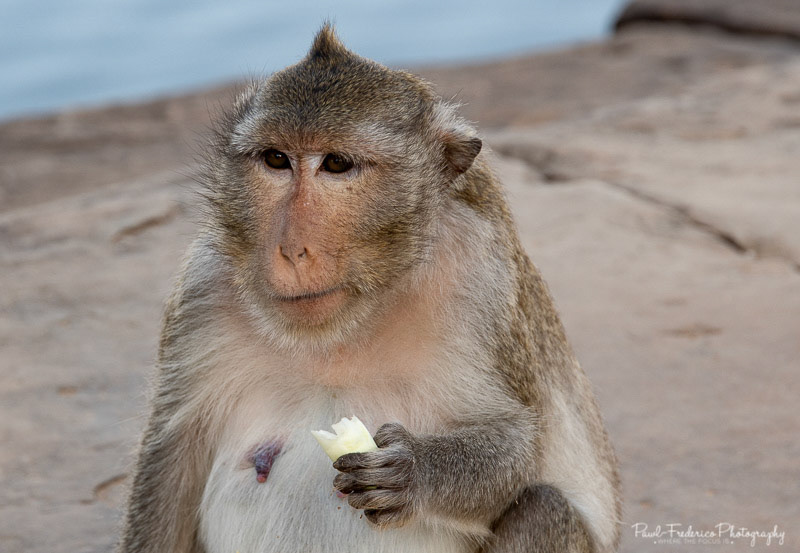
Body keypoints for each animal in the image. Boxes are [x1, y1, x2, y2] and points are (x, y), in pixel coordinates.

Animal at [118, 25, 621, 553]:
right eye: (276, 159)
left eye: (336, 164)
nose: (291, 249)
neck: (344, 331)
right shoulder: (203, 287)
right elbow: (169, 458)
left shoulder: (481, 278)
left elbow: (519, 443)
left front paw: (414, 471)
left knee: (544, 508)